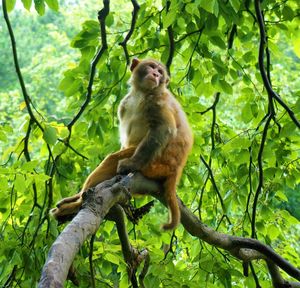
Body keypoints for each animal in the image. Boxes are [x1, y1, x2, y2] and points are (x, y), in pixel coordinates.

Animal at [51, 58, 192, 230]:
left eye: (160, 72)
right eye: (152, 67)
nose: (156, 75)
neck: (141, 93)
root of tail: (176, 170)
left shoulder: (157, 100)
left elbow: (163, 129)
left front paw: (131, 164)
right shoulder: (124, 104)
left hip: (156, 164)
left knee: (113, 159)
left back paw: (77, 204)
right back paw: (77, 199)